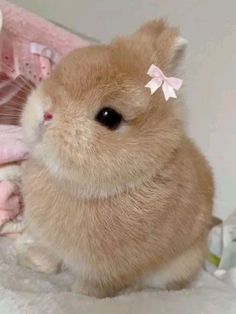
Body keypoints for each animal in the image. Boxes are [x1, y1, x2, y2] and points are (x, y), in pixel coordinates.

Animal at [17, 20, 215, 298]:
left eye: (109, 117)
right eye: (55, 74)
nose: (46, 114)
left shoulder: (108, 272)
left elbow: (94, 288)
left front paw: (79, 296)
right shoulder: (47, 243)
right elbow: (47, 256)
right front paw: (30, 263)